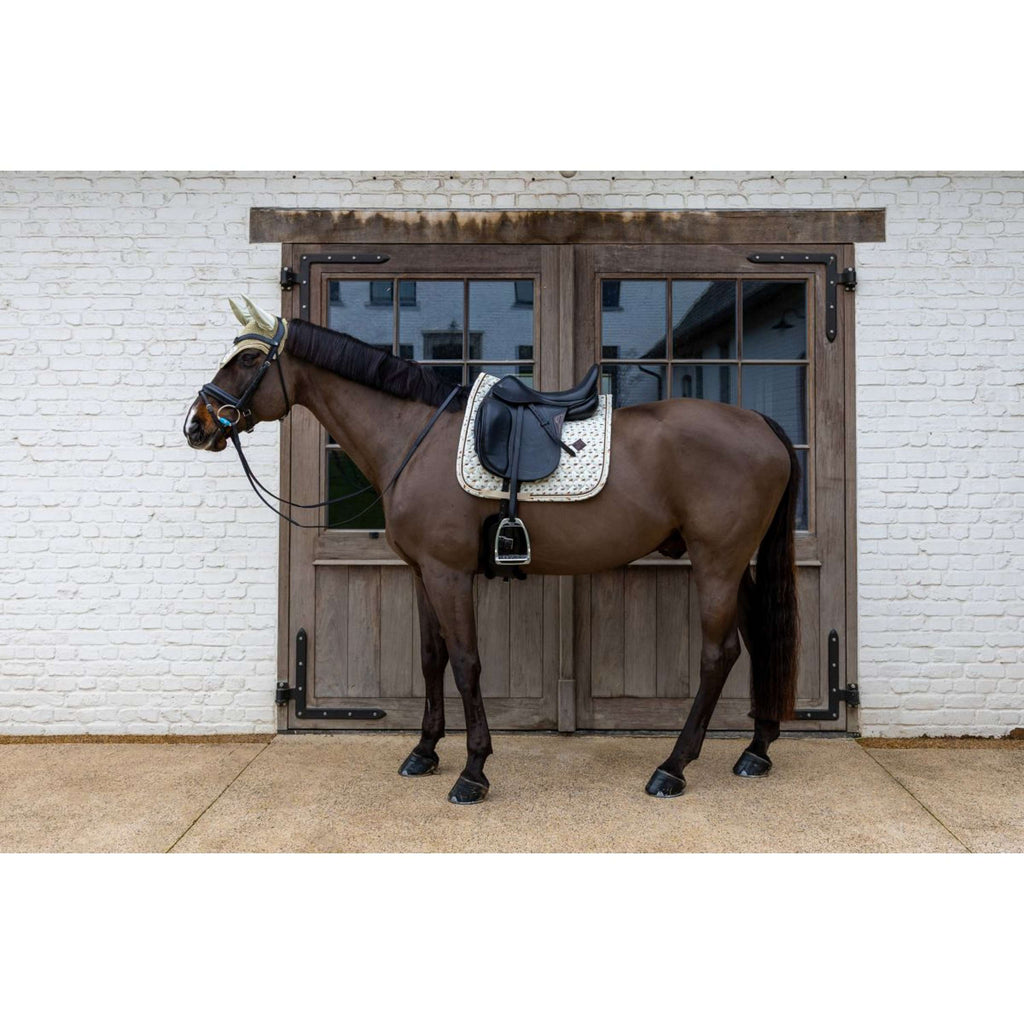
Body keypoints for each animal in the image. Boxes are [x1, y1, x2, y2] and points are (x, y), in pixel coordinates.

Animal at [184, 297, 800, 804]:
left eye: (246, 360)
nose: (197, 424)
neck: (415, 436)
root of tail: (760, 424)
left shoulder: (449, 574)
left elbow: (466, 663)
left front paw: (472, 771)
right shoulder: (421, 573)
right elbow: (431, 659)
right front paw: (424, 752)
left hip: (716, 562)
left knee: (719, 654)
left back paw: (673, 767)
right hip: (737, 564)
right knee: (760, 637)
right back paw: (756, 749)